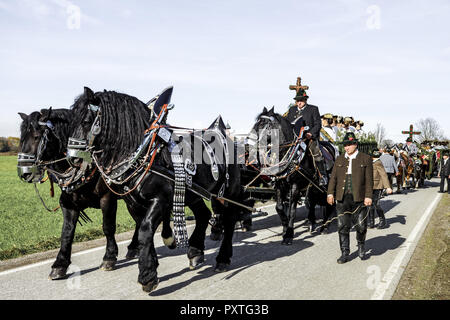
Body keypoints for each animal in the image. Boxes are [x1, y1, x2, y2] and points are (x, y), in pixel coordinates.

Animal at [67, 85, 243, 292]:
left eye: (86, 121)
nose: (72, 157)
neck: (144, 152)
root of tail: (223, 134)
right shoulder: (133, 204)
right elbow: (146, 231)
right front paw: (152, 265)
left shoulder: (160, 199)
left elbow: (144, 230)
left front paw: (147, 276)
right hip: (194, 193)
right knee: (203, 214)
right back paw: (195, 251)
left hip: (228, 192)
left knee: (229, 220)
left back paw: (222, 258)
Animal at [251, 107, 336, 245]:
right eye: (256, 124)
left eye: (265, 125)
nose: (251, 143)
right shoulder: (279, 185)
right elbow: (279, 208)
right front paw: (285, 228)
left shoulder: (295, 186)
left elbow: (292, 211)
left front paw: (289, 235)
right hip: (312, 186)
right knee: (312, 202)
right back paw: (312, 223)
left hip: (326, 184)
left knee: (329, 203)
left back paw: (324, 226)